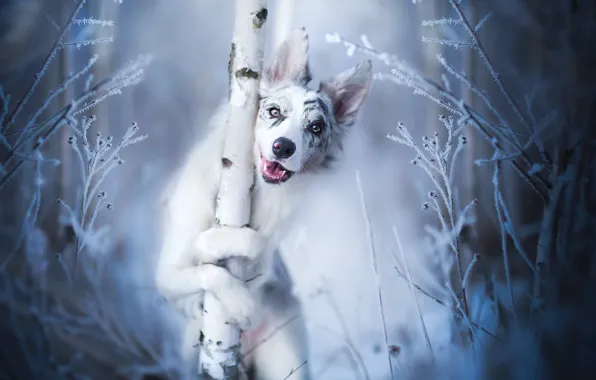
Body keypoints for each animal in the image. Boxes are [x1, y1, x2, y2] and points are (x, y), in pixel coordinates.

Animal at [157, 27, 372, 380]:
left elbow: (255, 246)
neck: (257, 193)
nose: (283, 147)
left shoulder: (264, 256)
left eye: (316, 127)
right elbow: (208, 267)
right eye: (274, 112)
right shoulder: (165, 276)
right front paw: (238, 300)